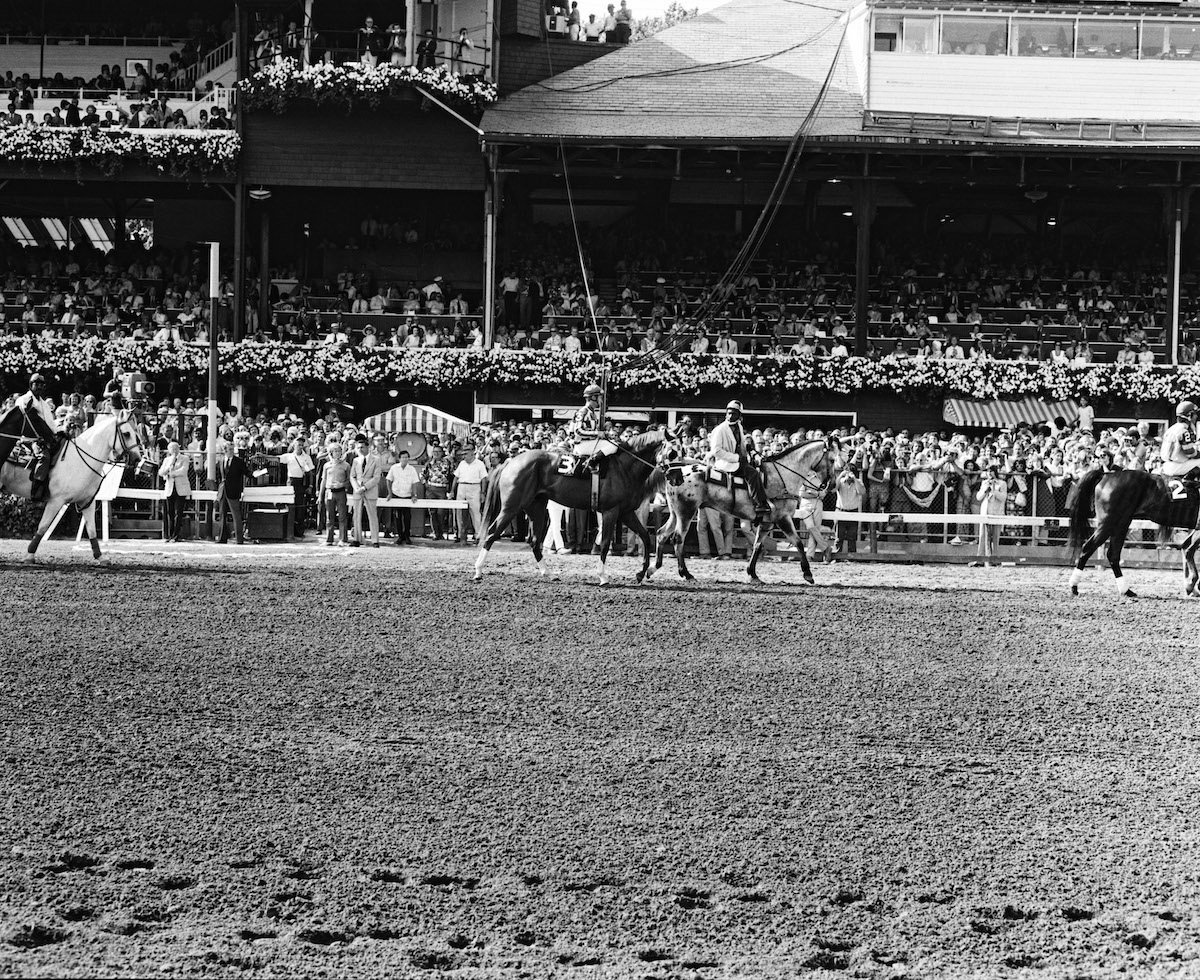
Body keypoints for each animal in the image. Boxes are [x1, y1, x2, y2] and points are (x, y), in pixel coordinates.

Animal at [475, 429, 667, 585]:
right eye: (671, 451)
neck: (624, 467)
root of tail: (510, 461)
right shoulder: (611, 512)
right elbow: (605, 543)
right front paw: (603, 577)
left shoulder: (626, 512)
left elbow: (645, 536)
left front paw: (642, 573)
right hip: (511, 507)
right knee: (492, 533)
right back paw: (478, 571)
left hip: (536, 508)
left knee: (534, 541)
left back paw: (549, 573)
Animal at [652, 439, 840, 585]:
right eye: (832, 460)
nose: (832, 485)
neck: (783, 475)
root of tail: (673, 473)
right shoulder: (783, 518)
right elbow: (798, 542)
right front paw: (808, 574)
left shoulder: (766, 522)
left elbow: (757, 545)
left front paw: (752, 574)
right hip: (686, 512)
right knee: (678, 539)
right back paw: (686, 573)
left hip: (675, 514)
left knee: (661, 534)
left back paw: (652, 568)